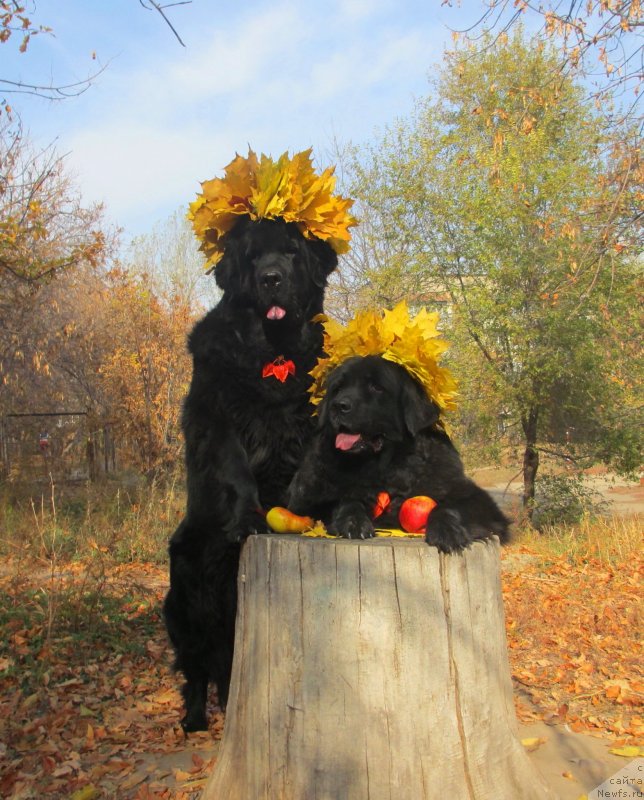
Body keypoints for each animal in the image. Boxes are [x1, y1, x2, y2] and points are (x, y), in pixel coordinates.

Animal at [164, 217, 338, 732]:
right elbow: (238, 472)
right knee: (197, 665)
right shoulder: (217, 416)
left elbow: (308, 470)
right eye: (253, 257)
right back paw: (196, 719)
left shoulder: (310, 417)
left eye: (292, 252)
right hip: (186, 597)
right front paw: (247, 521)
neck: (272, 350)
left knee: (224, 666)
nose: (271, 278)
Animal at [286, 354, 508, 552]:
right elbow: (345, 500)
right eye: (338, 388)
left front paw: (447, 531)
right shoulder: (306, 503)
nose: (338, 405)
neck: (384, 467)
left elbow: (449, 506)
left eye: (376, 387)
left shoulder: (475, 498)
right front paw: (352, 521)